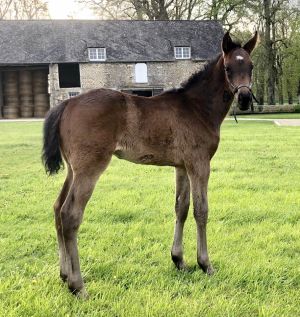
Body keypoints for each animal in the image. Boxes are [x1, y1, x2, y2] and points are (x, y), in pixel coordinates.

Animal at [42, 30, 258, 296]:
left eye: (251, 65)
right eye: (228, 68)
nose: (245, 98)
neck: (197, 107)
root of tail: (67, 103)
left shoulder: (182, 167)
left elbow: (181, 208)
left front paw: (179, 260)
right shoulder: (199, 164)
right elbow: (201, 210)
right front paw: (205, 264)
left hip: (73, 170)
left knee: (57, 209)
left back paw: (64, 275)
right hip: (89, 168)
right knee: (70, 215)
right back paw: (77, 285)